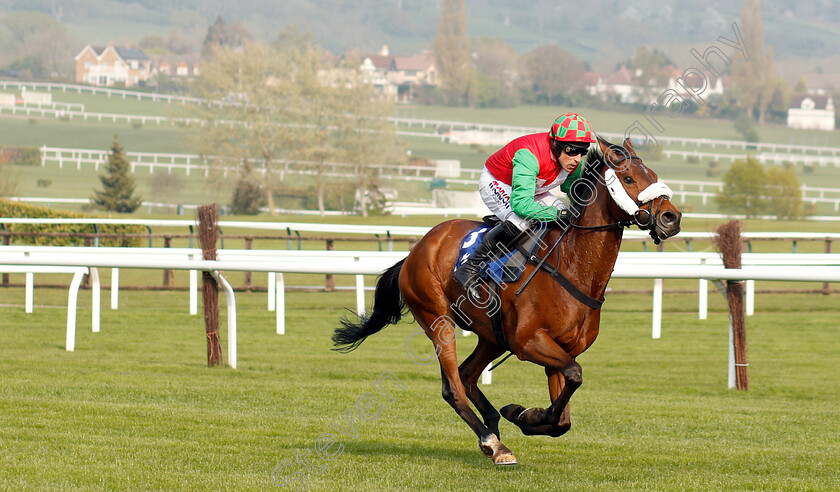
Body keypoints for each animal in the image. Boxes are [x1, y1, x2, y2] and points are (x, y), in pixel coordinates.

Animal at [332, 136, 680, 464]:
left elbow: (563, 415)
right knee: (453, 387)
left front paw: (522, 413)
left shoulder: (560, 350)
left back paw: (491, 424)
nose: (671, 217)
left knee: (467, 374)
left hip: (492, 335)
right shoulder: (529, 342)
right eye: (629, 178)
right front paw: (522, 414)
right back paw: (493, 443)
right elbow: (574, 377)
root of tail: (418, 248)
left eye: (654, 175)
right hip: (437, 318)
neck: (571, 265)